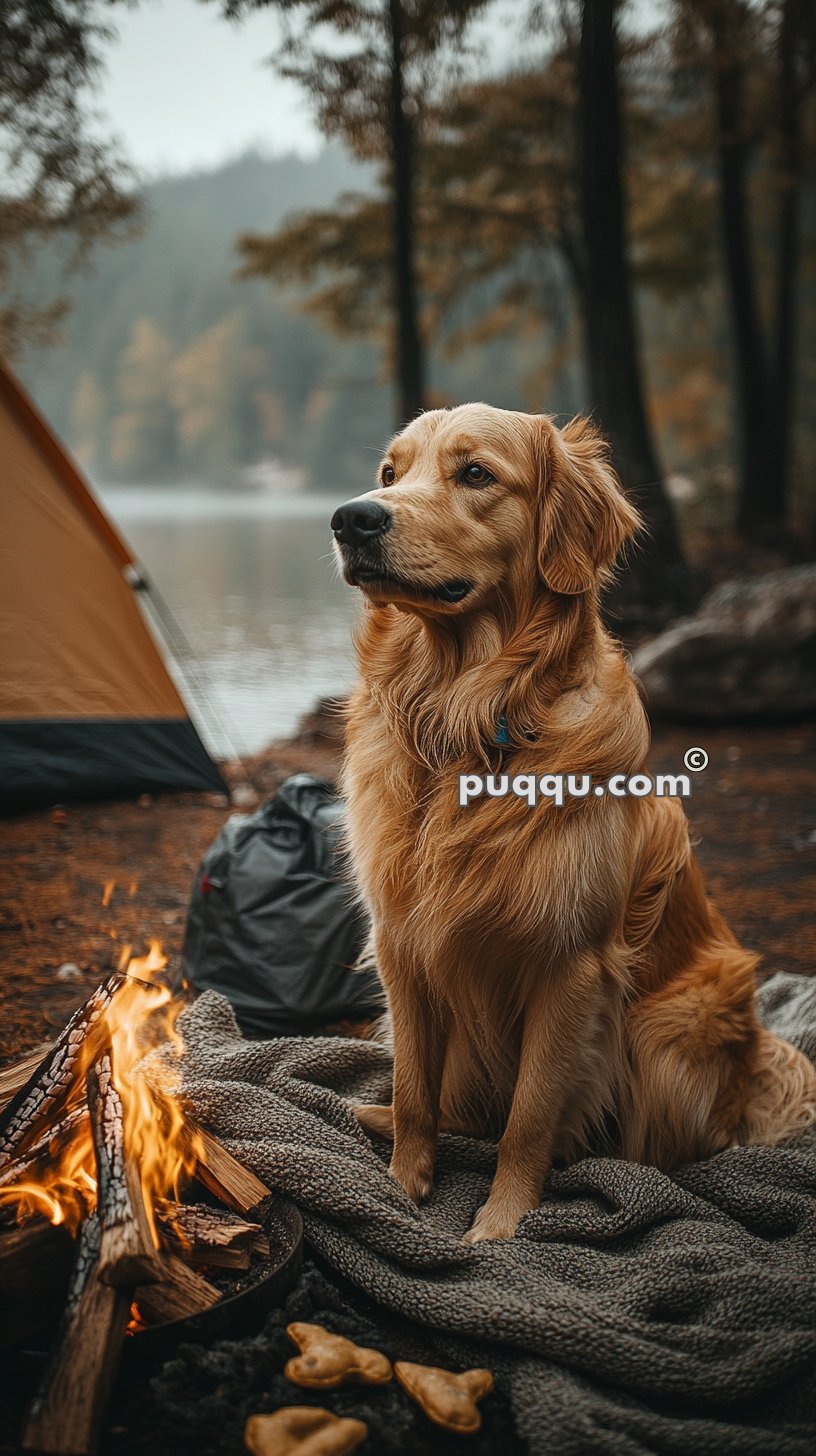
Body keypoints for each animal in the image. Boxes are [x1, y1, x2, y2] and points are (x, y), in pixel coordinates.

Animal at [329, 404, 816, 1246]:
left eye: (476, 474)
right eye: (391, 473)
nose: (352, 518)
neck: (466, 719)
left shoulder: (570, 967)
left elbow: (528, 1118)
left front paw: (499, 1228)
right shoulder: (402, 945)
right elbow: (416, 1091)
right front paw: (400, 1187)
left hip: (670, 1024)